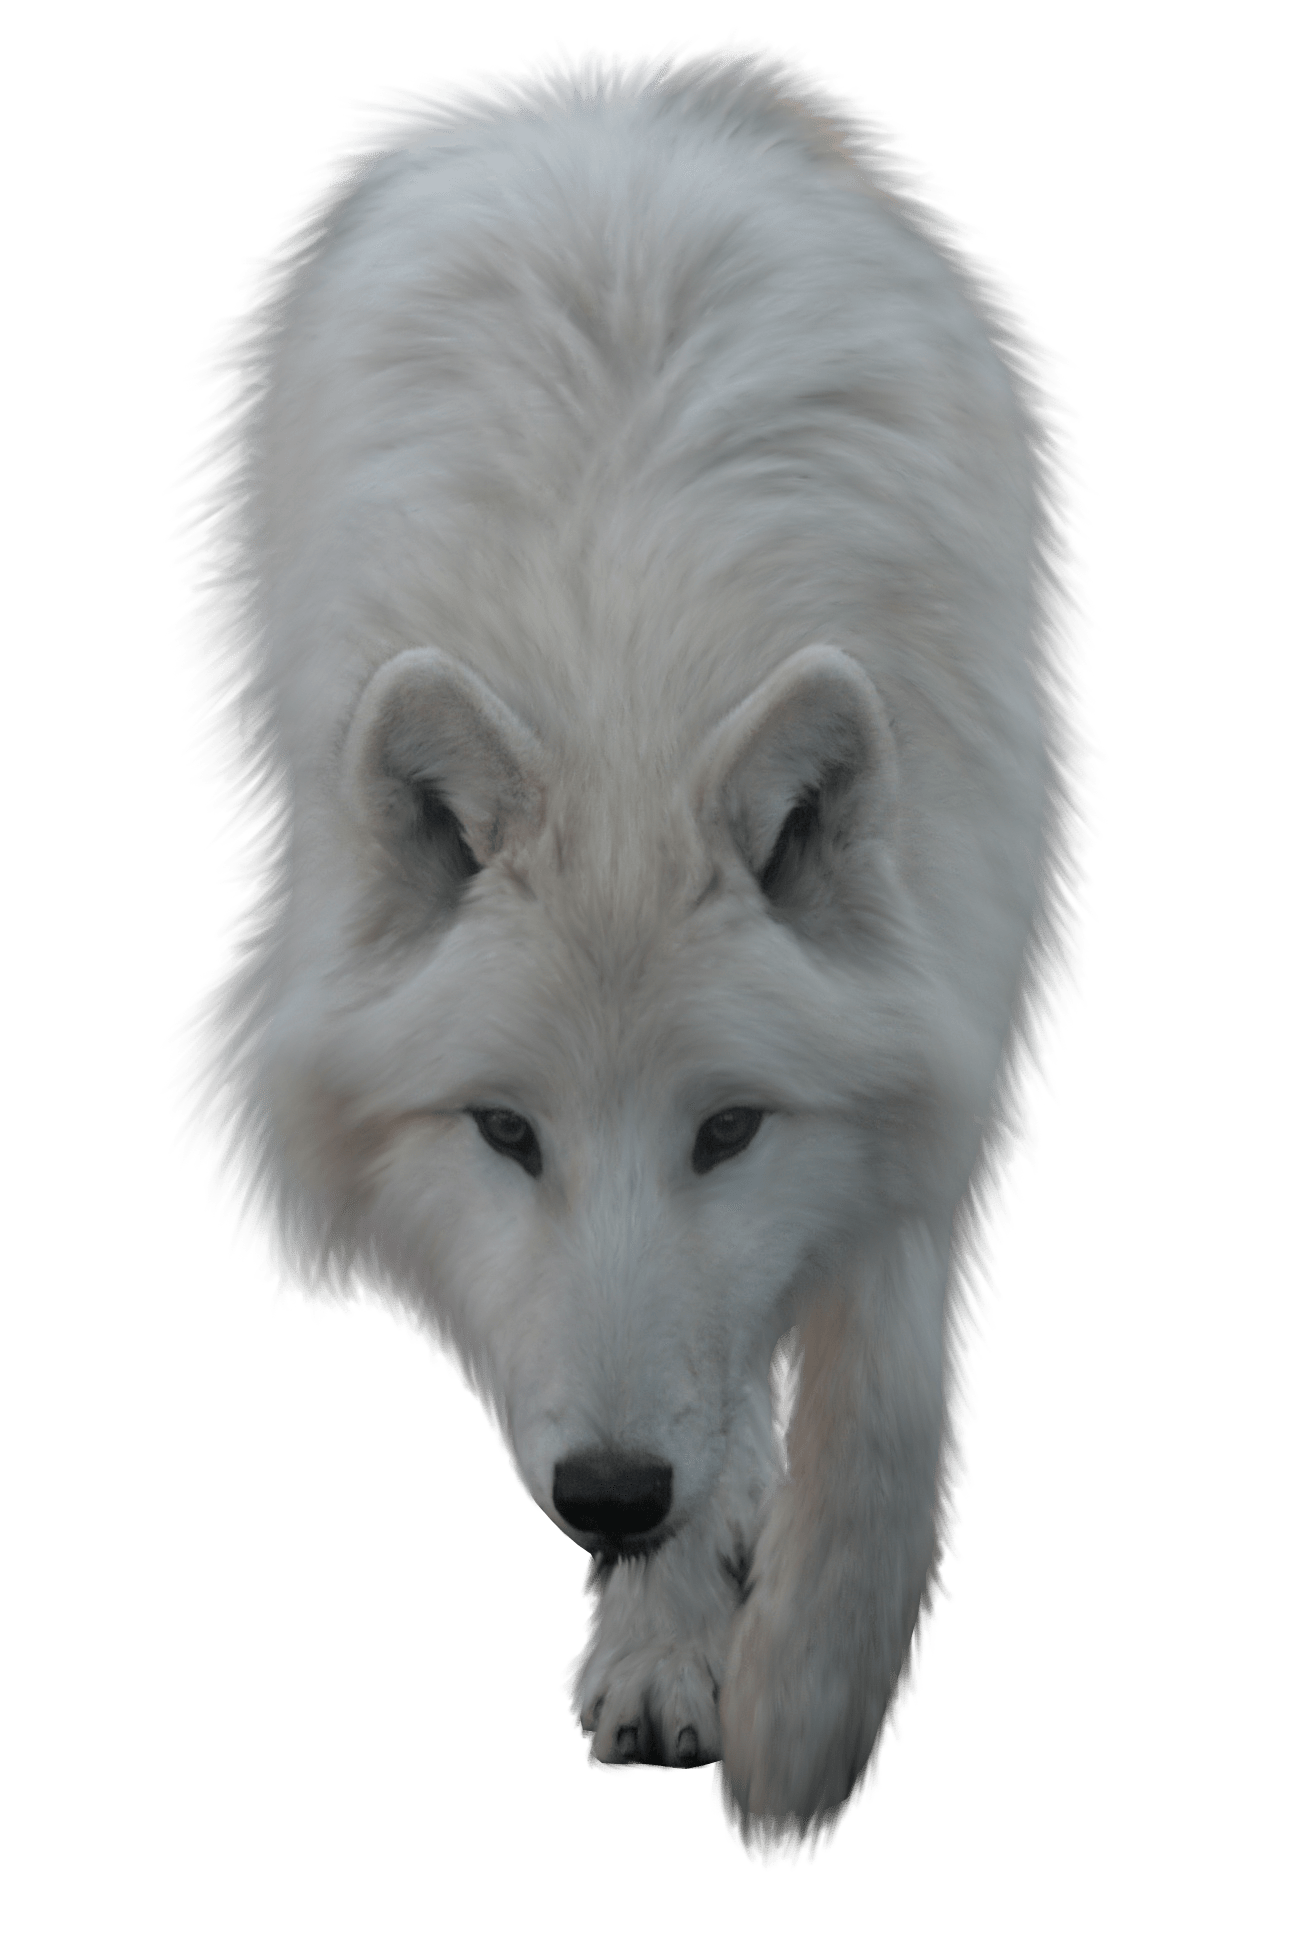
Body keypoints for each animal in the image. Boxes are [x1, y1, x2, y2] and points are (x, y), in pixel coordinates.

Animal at [168, 37, 1098, 1868]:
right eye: (502, 1129)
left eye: (728, 1125)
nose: (607, 1495)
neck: (628, 673)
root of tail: (596, 67)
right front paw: (681, 1636)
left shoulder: (945, 1031)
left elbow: (878, 1403)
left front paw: (803, 1728)